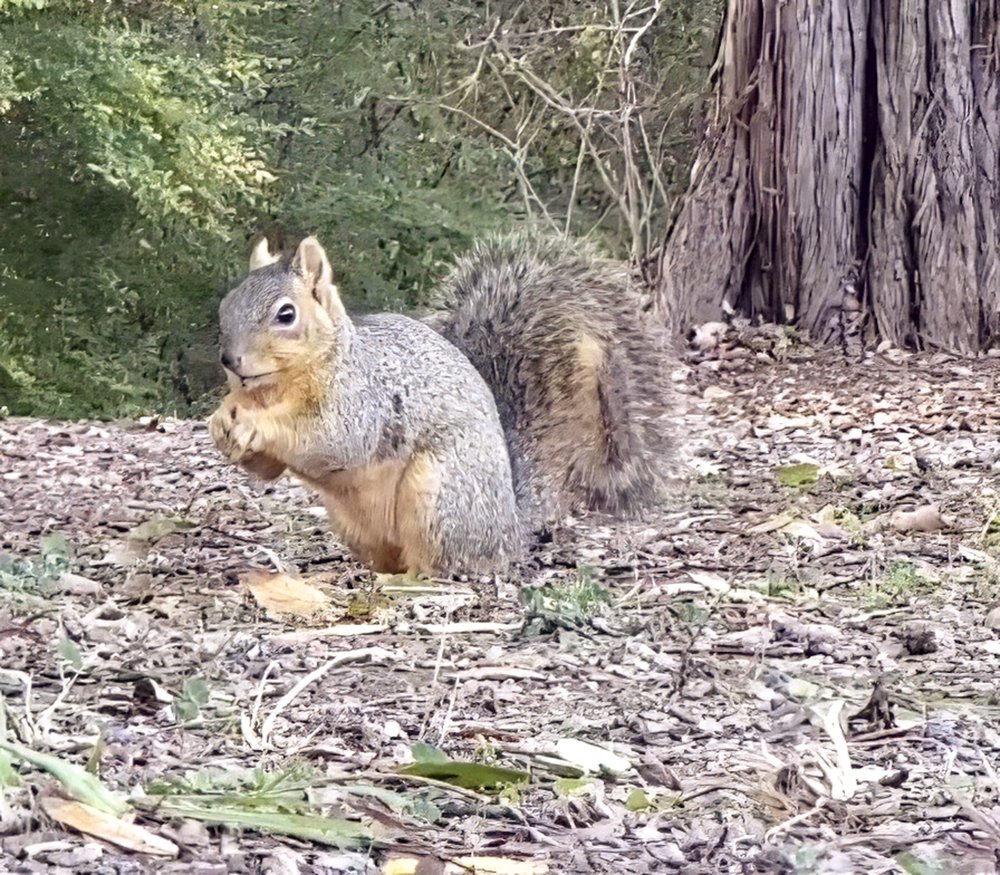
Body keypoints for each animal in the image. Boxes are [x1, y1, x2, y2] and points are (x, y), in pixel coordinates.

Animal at [209, 234, 671, 576]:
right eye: (225, 305)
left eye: (286, 315)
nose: (230, 361)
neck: (277, 392)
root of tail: (508, 528)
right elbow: (268, 469)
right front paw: (221, 423)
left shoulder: (364, 402)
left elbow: (330, 439)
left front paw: (254, 425)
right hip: (355, 525)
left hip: (437, 496)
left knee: (441, 566)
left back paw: (410, 583)